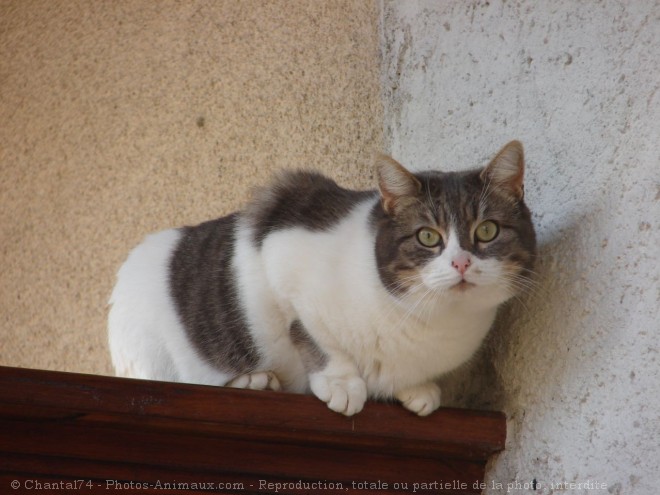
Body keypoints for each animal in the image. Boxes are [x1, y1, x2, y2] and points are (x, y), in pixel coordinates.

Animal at [108, 141, 536, 416]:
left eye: (487, 231)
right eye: (428, 237)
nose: (461, 263)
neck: (430, 322)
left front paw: (416, 388)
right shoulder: (279, 240)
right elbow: (311, 334)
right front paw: (342, 383)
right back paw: (255, 380)